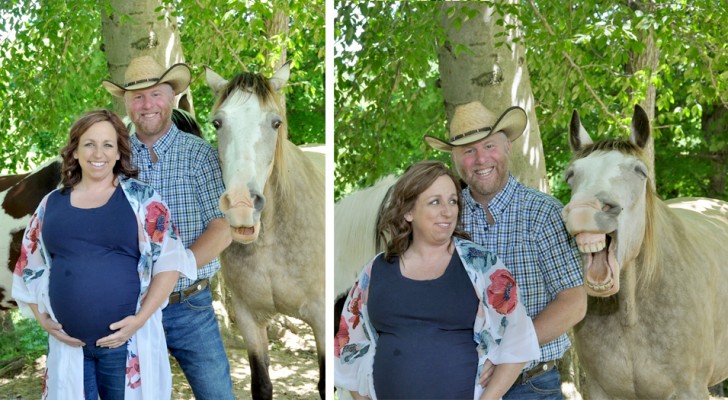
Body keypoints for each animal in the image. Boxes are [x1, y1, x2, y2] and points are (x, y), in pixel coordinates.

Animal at [208, 64, 328, 398]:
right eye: (218, 122)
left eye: (276, 122)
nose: (241, 205)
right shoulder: (249, 319)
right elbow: (261, 384)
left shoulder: (322, 319)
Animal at [564, 104, 728, 398]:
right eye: (571, 174)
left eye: (640, 171)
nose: (584, 210)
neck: (631, 316)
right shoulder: (599, 389)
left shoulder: (690, 389)